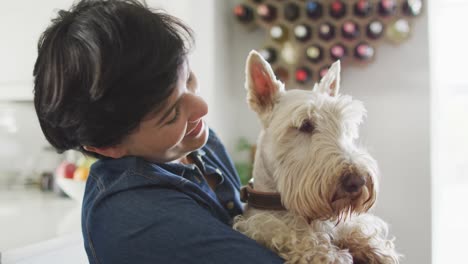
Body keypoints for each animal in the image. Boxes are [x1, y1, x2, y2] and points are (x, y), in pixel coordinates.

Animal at [233, 50, 398, 262]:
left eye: (345, 126)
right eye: (305, 125)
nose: (357, 181)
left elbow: (354, 228)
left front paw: (376, 249)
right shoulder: (259, 225)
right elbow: (293, 235)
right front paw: (329, 254)